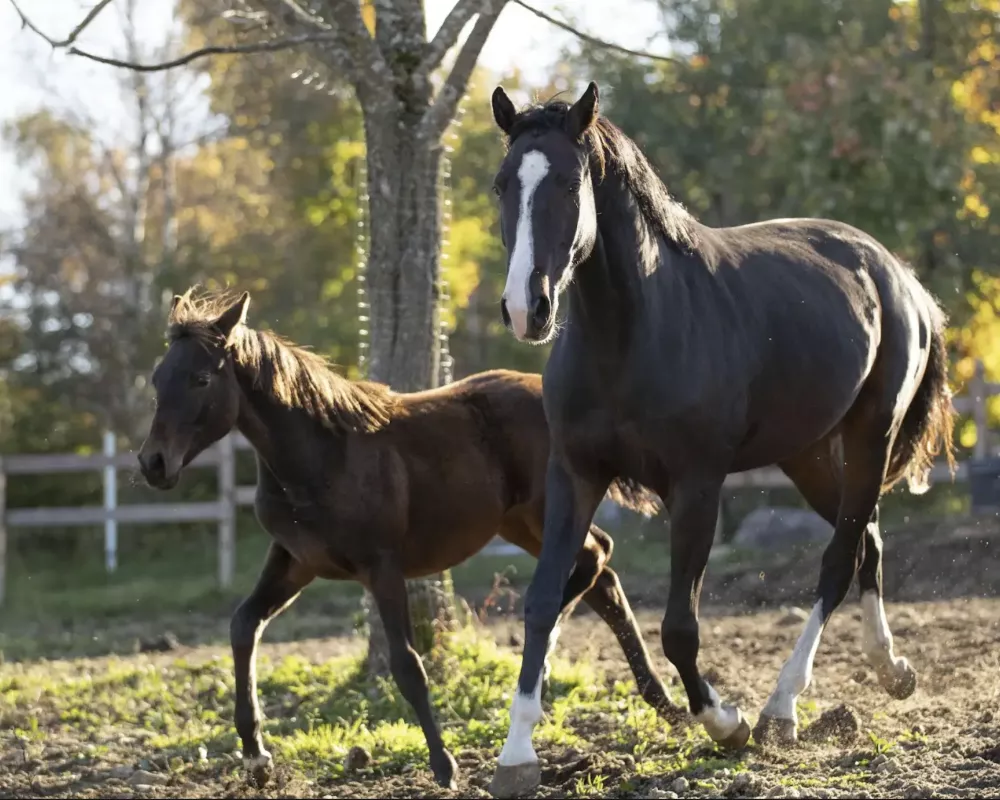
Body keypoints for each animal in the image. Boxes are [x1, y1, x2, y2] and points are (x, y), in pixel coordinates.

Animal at [488, 81, 956, 792]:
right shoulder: (574, 475)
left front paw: (724, 723)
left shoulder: (697, 487)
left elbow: (680, 627)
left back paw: (780, 710)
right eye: (501, 185)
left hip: (871, 436)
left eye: (570, 184)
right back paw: (890, 670)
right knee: (868, 541)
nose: (526, 309)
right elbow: (542, 601)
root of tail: (895, 273)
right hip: (808, 456)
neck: (631, 335)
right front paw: (516, 755)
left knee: (840, 557)